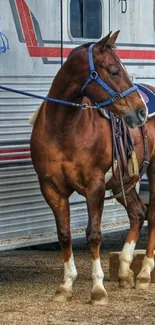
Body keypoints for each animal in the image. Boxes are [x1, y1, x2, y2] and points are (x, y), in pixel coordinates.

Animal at [29, 31, 148, 304]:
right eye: (114, 71)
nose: (141, 111)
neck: (64, 128)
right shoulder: (51, 188)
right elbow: (64, 233)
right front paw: (66, 285)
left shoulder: (94, 186)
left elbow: (94, 234)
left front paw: (98, 289)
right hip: (124, 184)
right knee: (138, 214)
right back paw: (125, 272)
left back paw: (146, 272)